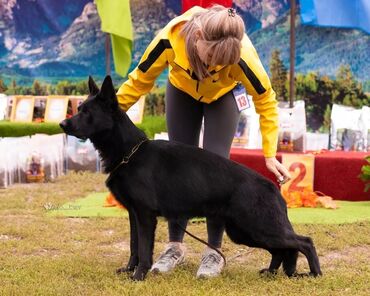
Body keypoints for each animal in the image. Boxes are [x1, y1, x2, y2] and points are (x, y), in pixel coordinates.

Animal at [60, 75, 320, 280]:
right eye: (79, 108)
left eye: (86, 112)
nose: (62, 124)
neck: (130, 152)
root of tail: (272, 186)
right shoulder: (134, 215)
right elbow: (134, 246)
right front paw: (129, 269)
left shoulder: (145, 216)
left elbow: (143, 249)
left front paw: (139, 275)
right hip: (244, 232)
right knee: (281, 250)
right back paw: (272, 272)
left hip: (257, 228)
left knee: (304, 241)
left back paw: (314, 273)